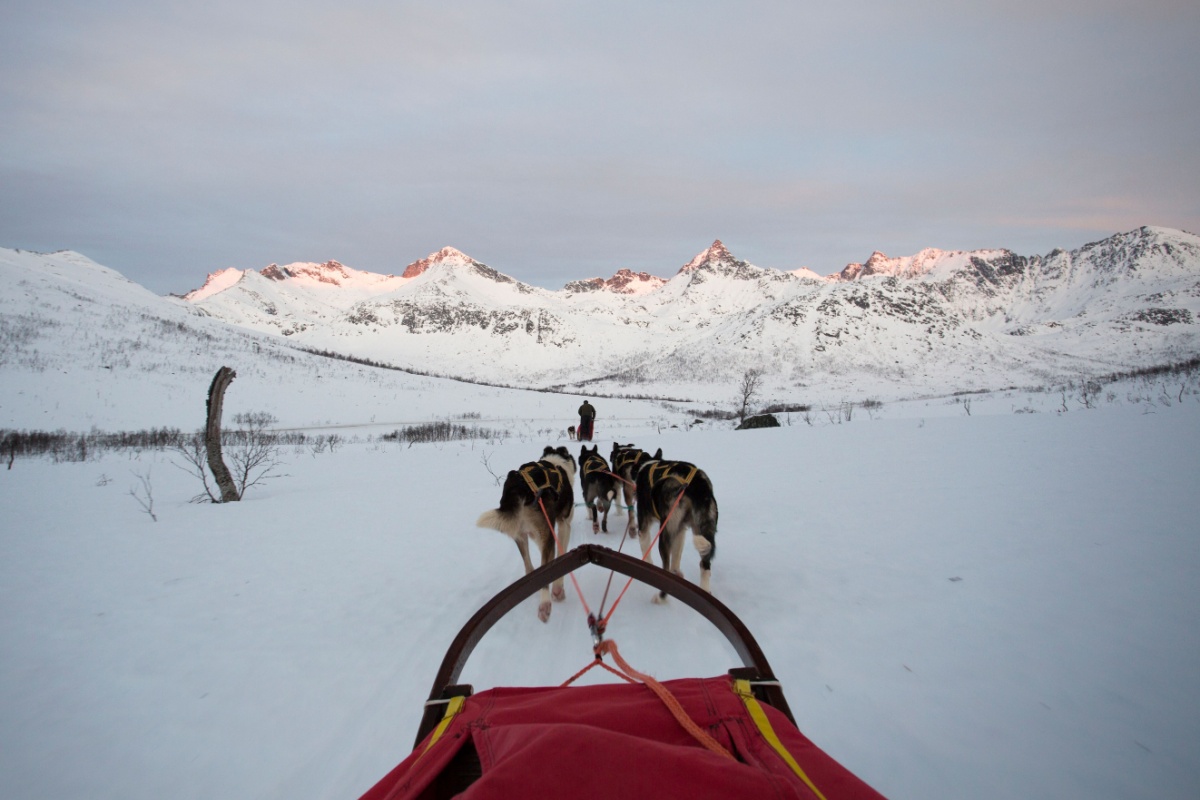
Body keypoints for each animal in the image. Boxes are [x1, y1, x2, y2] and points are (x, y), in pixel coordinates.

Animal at [472, 448, 576, 623]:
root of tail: (518, 485)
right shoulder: (564, 526)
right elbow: (561, 556)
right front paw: (558, 590)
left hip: (520, 536)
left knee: (529, 567)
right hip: (547, 534)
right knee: (544, 572)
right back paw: (545, 603)